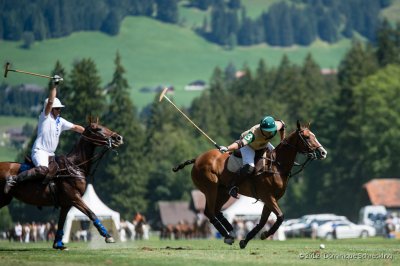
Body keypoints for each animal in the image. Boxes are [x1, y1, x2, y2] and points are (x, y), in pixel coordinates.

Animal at [0, 121, 123, 250]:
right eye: (99, 129)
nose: (118, 138)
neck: (75, 166)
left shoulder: (66, 204)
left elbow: (61, 223)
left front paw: (58, 244)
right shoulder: (74, 198)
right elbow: (91, 213)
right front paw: (108, 236)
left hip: (5, 199)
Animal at [173, 121, 326, 249]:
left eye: (313, 135)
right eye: (306, 137)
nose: (323, 152)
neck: (277, 165)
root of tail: (197, 159)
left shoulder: (270, 199)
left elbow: (263, 221)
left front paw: (246, 240)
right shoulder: (268, 197)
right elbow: (280, 217)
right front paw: (263, 235)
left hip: (223, 191)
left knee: (216, 211)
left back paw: (230, 230)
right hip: (210, 189)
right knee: (209, 212)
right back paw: (228, 235)